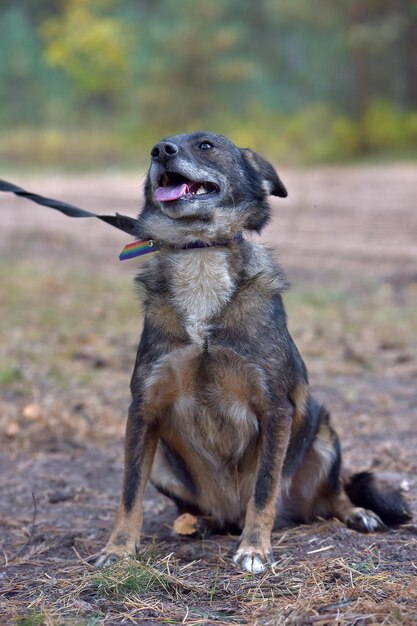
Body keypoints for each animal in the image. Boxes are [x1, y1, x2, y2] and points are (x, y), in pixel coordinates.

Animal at [94, 132, 410, 572]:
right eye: (159, 146)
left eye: (205, 145)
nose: (160, 151)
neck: (200, 252)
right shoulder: (144, 408)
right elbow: (128, 492)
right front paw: (118, 549)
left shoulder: (275, 409)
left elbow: (263, 490)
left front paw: (254, 549)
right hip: (164, 463)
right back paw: (198, 523)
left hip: (324, 434)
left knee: (334, 493)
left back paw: (356, 513)